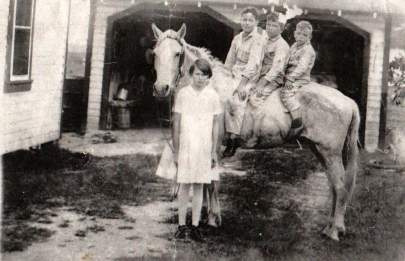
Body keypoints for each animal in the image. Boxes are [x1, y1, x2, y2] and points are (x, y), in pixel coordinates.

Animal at [152, 22, 360, 240]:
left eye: (177, 54)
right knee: (334, 187)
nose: (161, 88)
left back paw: (335, 229)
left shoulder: (214, 147)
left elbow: (212, 182)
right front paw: (208, 215)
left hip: (330, 152)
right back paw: (331, 226)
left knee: (340, 186)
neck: (210, 90)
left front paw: (213, 218)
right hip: (319, 150)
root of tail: (348, 101)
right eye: (155, 53)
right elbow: (208, 182)